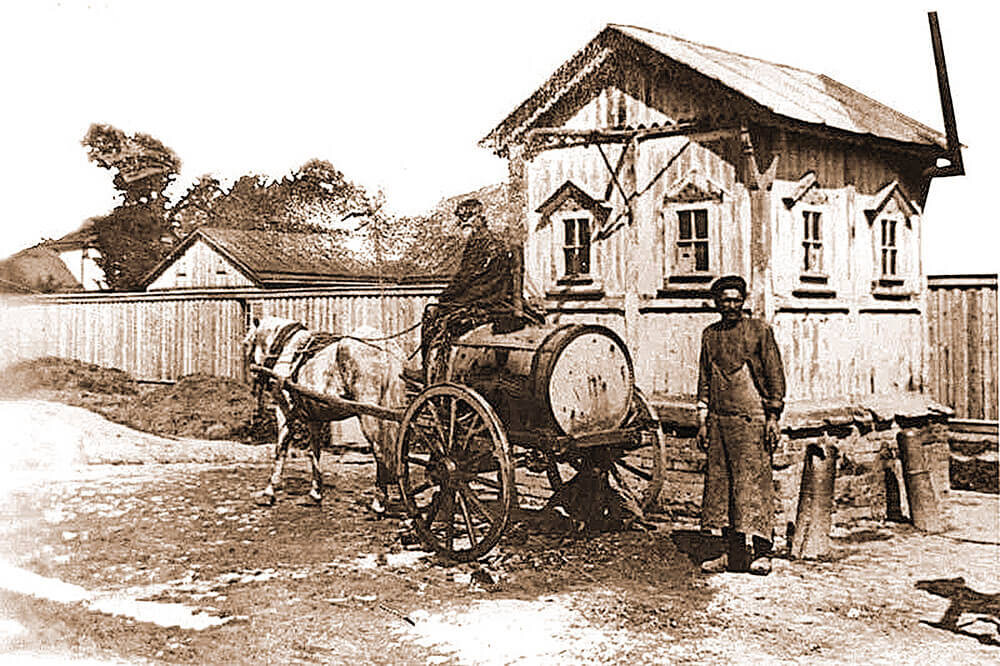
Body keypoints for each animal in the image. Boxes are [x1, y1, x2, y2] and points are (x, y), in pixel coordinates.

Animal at [243, 316, 405, 512]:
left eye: (246, 343)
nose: (254, 378)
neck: (286, 348)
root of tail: (383, 345)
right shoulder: (315, 419)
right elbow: (314, 452)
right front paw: (315, 493)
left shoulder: (284, 412)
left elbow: (280, 449)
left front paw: (269, 492)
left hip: (369, 413)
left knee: (379, 451)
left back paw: (378, 503)